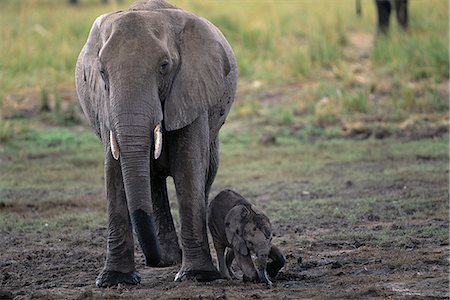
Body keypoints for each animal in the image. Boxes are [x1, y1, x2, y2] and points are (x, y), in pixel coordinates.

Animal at [76, 0, 239, 288]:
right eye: (102, 72)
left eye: (164, 66)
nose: (153, 260)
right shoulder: (105, 107)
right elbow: (114, 172)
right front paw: (115, 280)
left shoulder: (190, 90)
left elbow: (188, 168)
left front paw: (197, 275)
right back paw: (168, 259)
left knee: (206, 173)